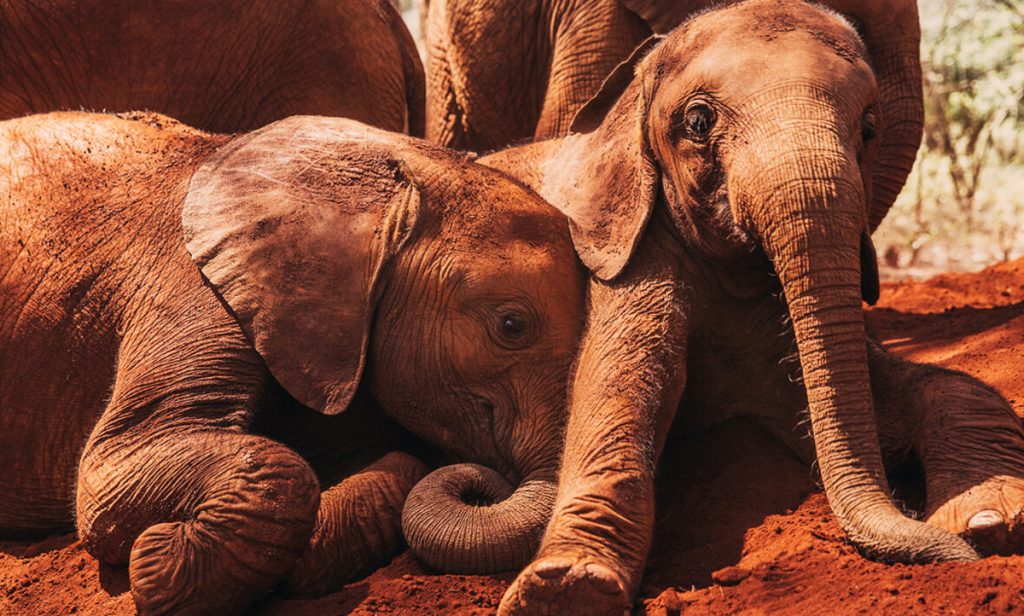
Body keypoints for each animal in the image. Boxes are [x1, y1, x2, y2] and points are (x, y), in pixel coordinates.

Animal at [479, 1, 1024, 613]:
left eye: (868, 128)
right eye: (697, 123)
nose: (958, 561)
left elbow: (945, 386)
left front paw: (986, 521)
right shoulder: (630, 249)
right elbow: (614, 397)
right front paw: (566, 589)